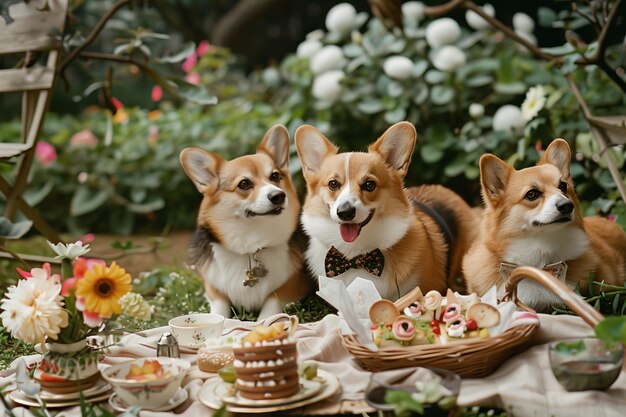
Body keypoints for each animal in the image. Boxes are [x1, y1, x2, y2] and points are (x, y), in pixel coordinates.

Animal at [179, 125, 310, 316]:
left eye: (275, 176)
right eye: (244, 184)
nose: (278, 195)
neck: (250, 246)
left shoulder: (288, 288)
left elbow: (270, 309)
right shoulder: (214, 290)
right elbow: (218, 311)